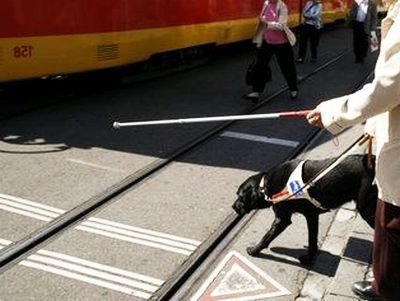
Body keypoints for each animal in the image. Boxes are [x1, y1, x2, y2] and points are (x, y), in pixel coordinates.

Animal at [233, 154, 376, 264]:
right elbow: (312, 240)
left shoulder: (282, 219)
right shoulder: (311, 215)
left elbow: (267, 236)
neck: (265, 186)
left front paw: (254, 250)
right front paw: (309, 258)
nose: (233, 207)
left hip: (366, 208)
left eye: (240, 196)